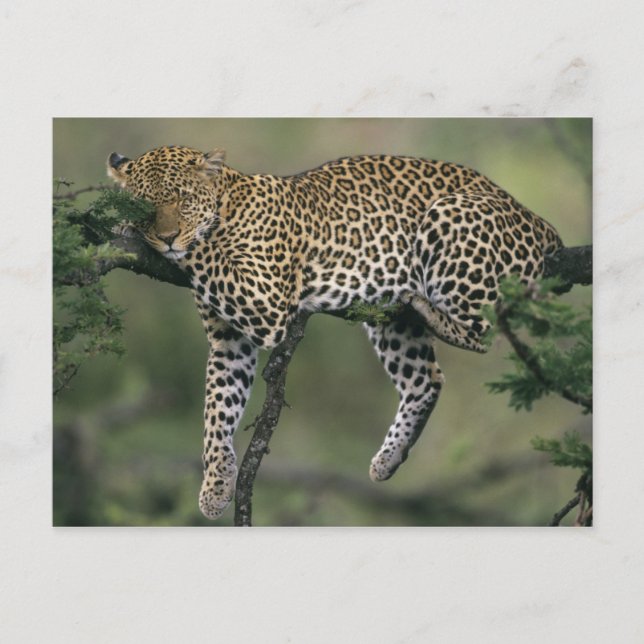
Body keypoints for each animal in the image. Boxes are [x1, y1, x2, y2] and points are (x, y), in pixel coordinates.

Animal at [107, 145, 563, 520]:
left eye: (183, 201)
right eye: (146, 205)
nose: (166, 238)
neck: (228, 204)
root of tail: (538, 219)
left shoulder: (264, 299)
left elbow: (207, 251)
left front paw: (132, 232)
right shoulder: (228, 341)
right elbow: (218, 410)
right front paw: (216, 486)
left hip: (451, 216)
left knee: (486, 329)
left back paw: (432, 311)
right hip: (390, 321)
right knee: (426, 379)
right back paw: (388, 459)